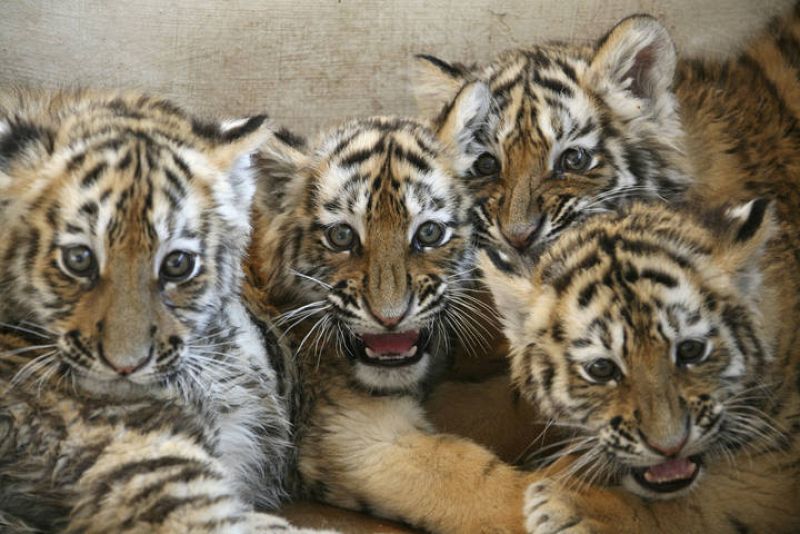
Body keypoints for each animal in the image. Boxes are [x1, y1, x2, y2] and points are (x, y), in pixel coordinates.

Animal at [478, 198, 800, 533]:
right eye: (602, 369)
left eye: (691, 350)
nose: (670, 447)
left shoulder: (773, 468)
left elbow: (696, 508)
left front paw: (568, 507)